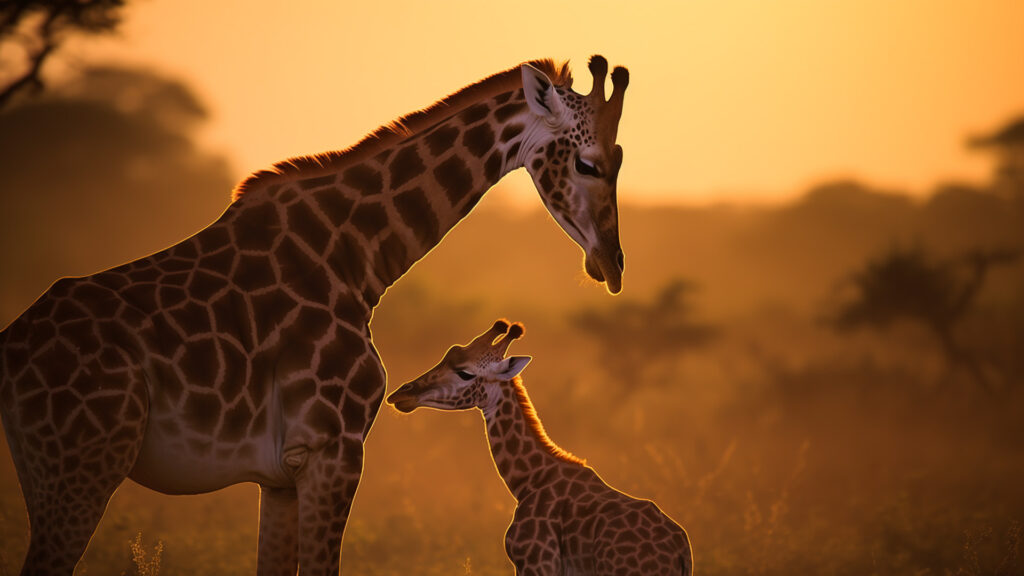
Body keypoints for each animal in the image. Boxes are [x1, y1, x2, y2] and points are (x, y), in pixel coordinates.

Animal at [0, 54, 626, 573]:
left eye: (620, 161)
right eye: (589, 164)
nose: (612, 264)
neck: (356, 257)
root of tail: (10, 351)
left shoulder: (280, 474)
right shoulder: (334, 449)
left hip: (48, 474)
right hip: (84, 469)